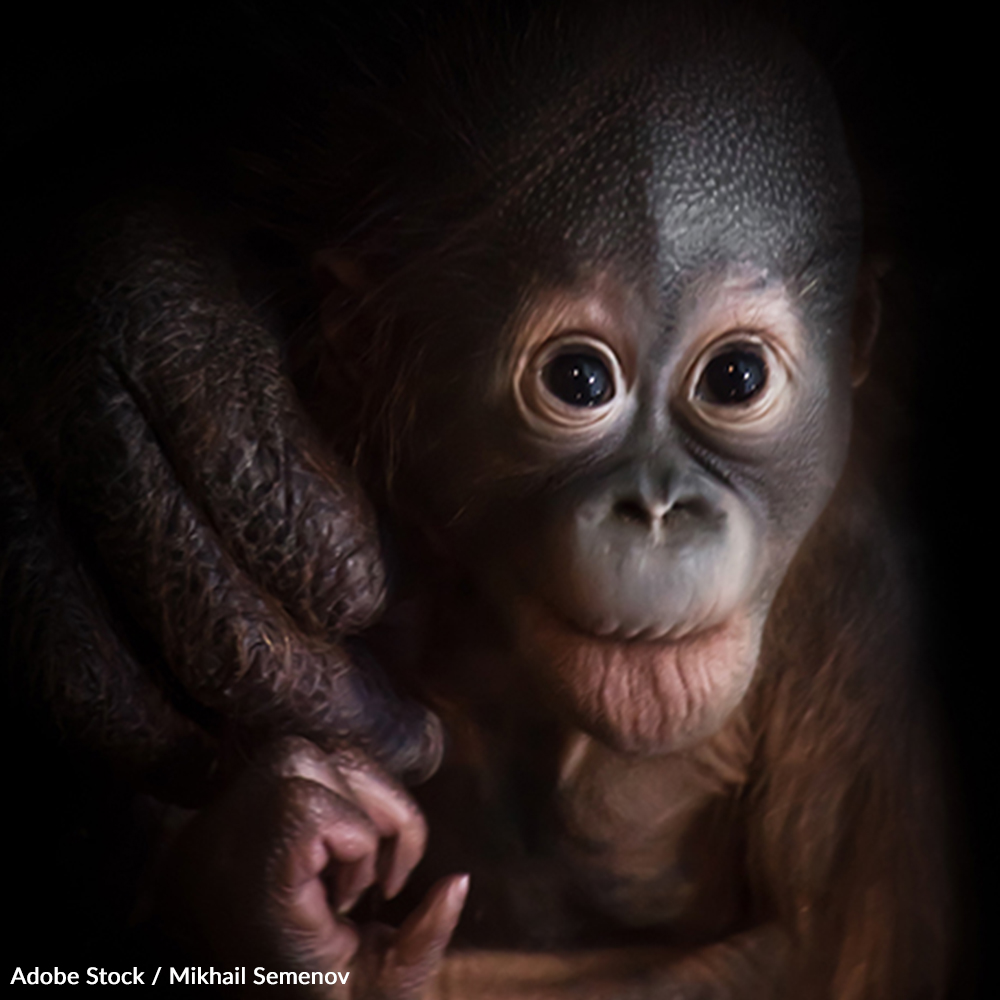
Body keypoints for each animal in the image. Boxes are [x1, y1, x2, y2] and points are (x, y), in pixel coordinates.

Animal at [1, 2, 955, 996]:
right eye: (579, 380)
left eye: (735, 377)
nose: (657, 508)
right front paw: (277, 871)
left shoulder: (853, 592)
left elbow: (828, 946)